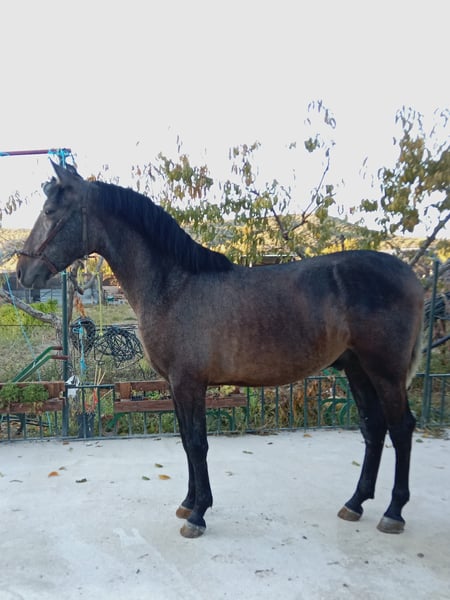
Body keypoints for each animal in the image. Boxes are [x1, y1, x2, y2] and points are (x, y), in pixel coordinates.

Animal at [17, 162, 424, 539]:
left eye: (50, 211)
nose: (22, 273)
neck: (173, 286)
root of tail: (409, 274)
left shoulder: (189, 383)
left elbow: (198, 444)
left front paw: (198, 515)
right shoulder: (175, 385)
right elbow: (185, 442)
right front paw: (187, 503)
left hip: (385, 372)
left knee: (401, 428)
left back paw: (394, 512)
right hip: (358, 368)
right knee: (374, 428)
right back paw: (355, 503)